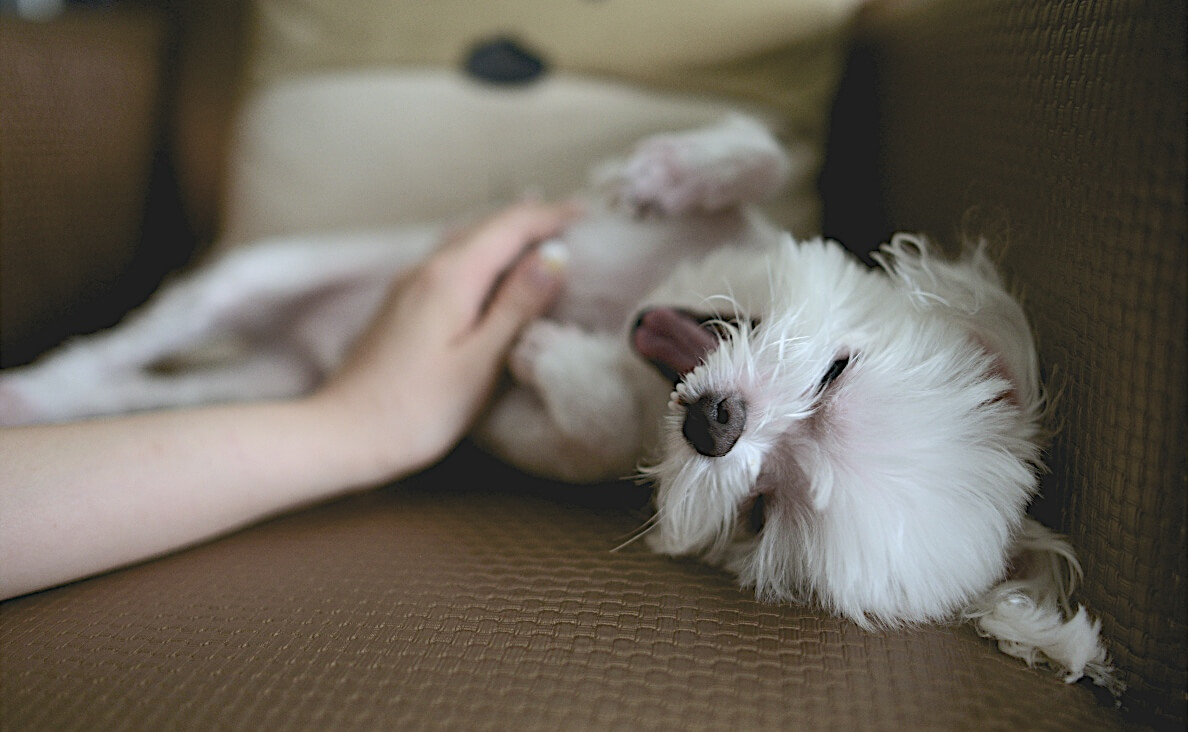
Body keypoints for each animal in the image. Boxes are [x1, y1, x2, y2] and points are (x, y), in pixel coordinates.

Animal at [0, 112, 1111, 693]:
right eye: (838, 373)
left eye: (763, 511)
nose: (717, 425)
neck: (643, 313)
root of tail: (299, 346)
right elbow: (756, 152)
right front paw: (674, 172)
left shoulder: (554, 437)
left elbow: (578, 425)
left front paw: (550, 353)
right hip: (262, 277)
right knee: (150, 334)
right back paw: (36, 384)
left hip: (268, 383)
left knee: (144, 386)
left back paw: (44, 401)